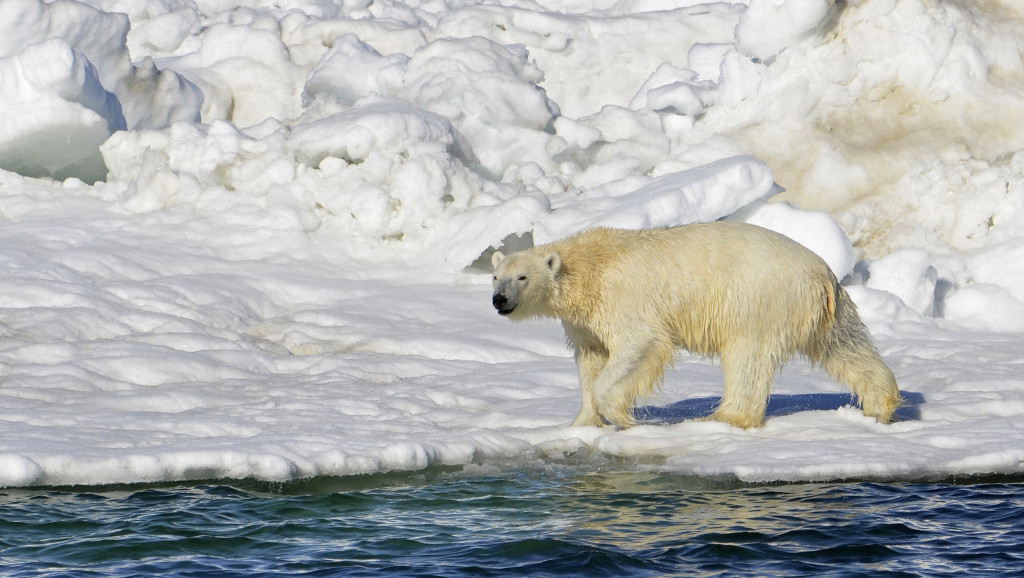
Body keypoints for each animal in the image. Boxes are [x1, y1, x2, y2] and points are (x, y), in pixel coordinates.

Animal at [491, 223, 901, 426]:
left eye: (522, 277)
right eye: (496, 277)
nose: (499, 300)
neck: (590, 267)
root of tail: (821, 274)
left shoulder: (623, 299)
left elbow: (639, 344)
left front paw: (622, 417)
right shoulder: (585, 321)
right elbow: (591, 359)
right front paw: (582, 423)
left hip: (756, 300)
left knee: (746, 358)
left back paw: (724, 417)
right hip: (826, 310)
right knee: (846, 347)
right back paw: (881, 405)